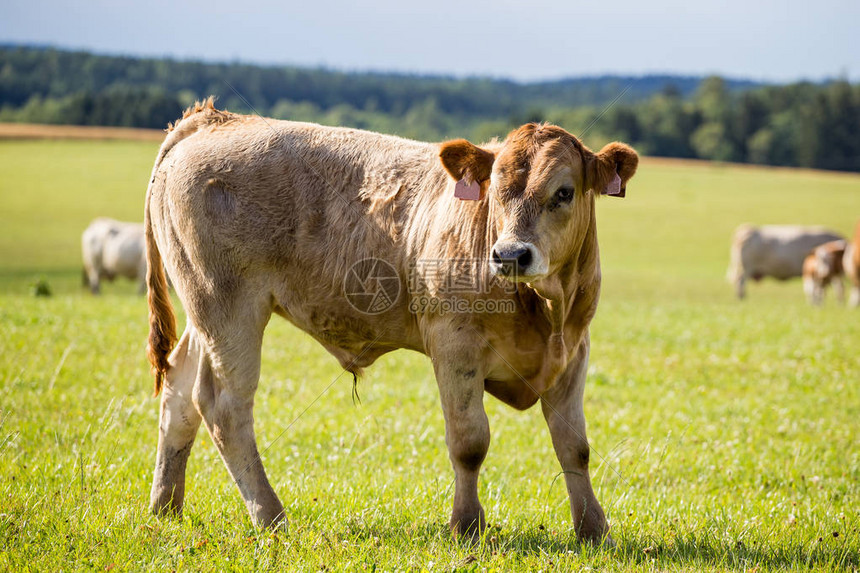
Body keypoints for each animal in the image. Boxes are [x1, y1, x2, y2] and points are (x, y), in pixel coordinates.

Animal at [143, 100, 640, 544]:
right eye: (497, 190)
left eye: (564, 192)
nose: (510, 255)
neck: (545, 308)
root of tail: (216, 119)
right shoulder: (454, 345)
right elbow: (469, 441)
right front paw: (466, 526)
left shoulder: (574, 351)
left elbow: (574, 445)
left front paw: (593, 529)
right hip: (228, 309)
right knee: (225, 408)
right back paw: (270, 516)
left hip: (203, 314)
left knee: (180, 391)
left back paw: (166, 506)